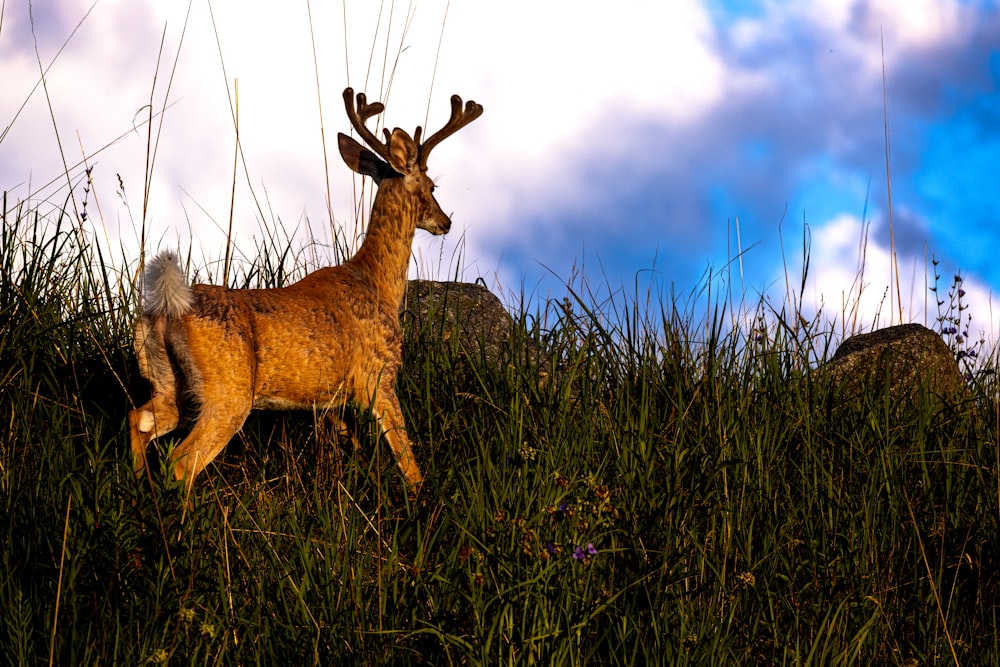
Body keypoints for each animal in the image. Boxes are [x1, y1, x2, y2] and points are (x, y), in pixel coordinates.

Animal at [127, 86, 486, 496]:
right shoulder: (378, 374)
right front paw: (421, 499)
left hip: (169, 379)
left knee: (140, 419)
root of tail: (164, 311)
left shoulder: (329, 401)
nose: (445, 222)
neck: (376, 282)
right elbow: (408, 461)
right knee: (182, 461)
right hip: (228, 390)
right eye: (432, 186)